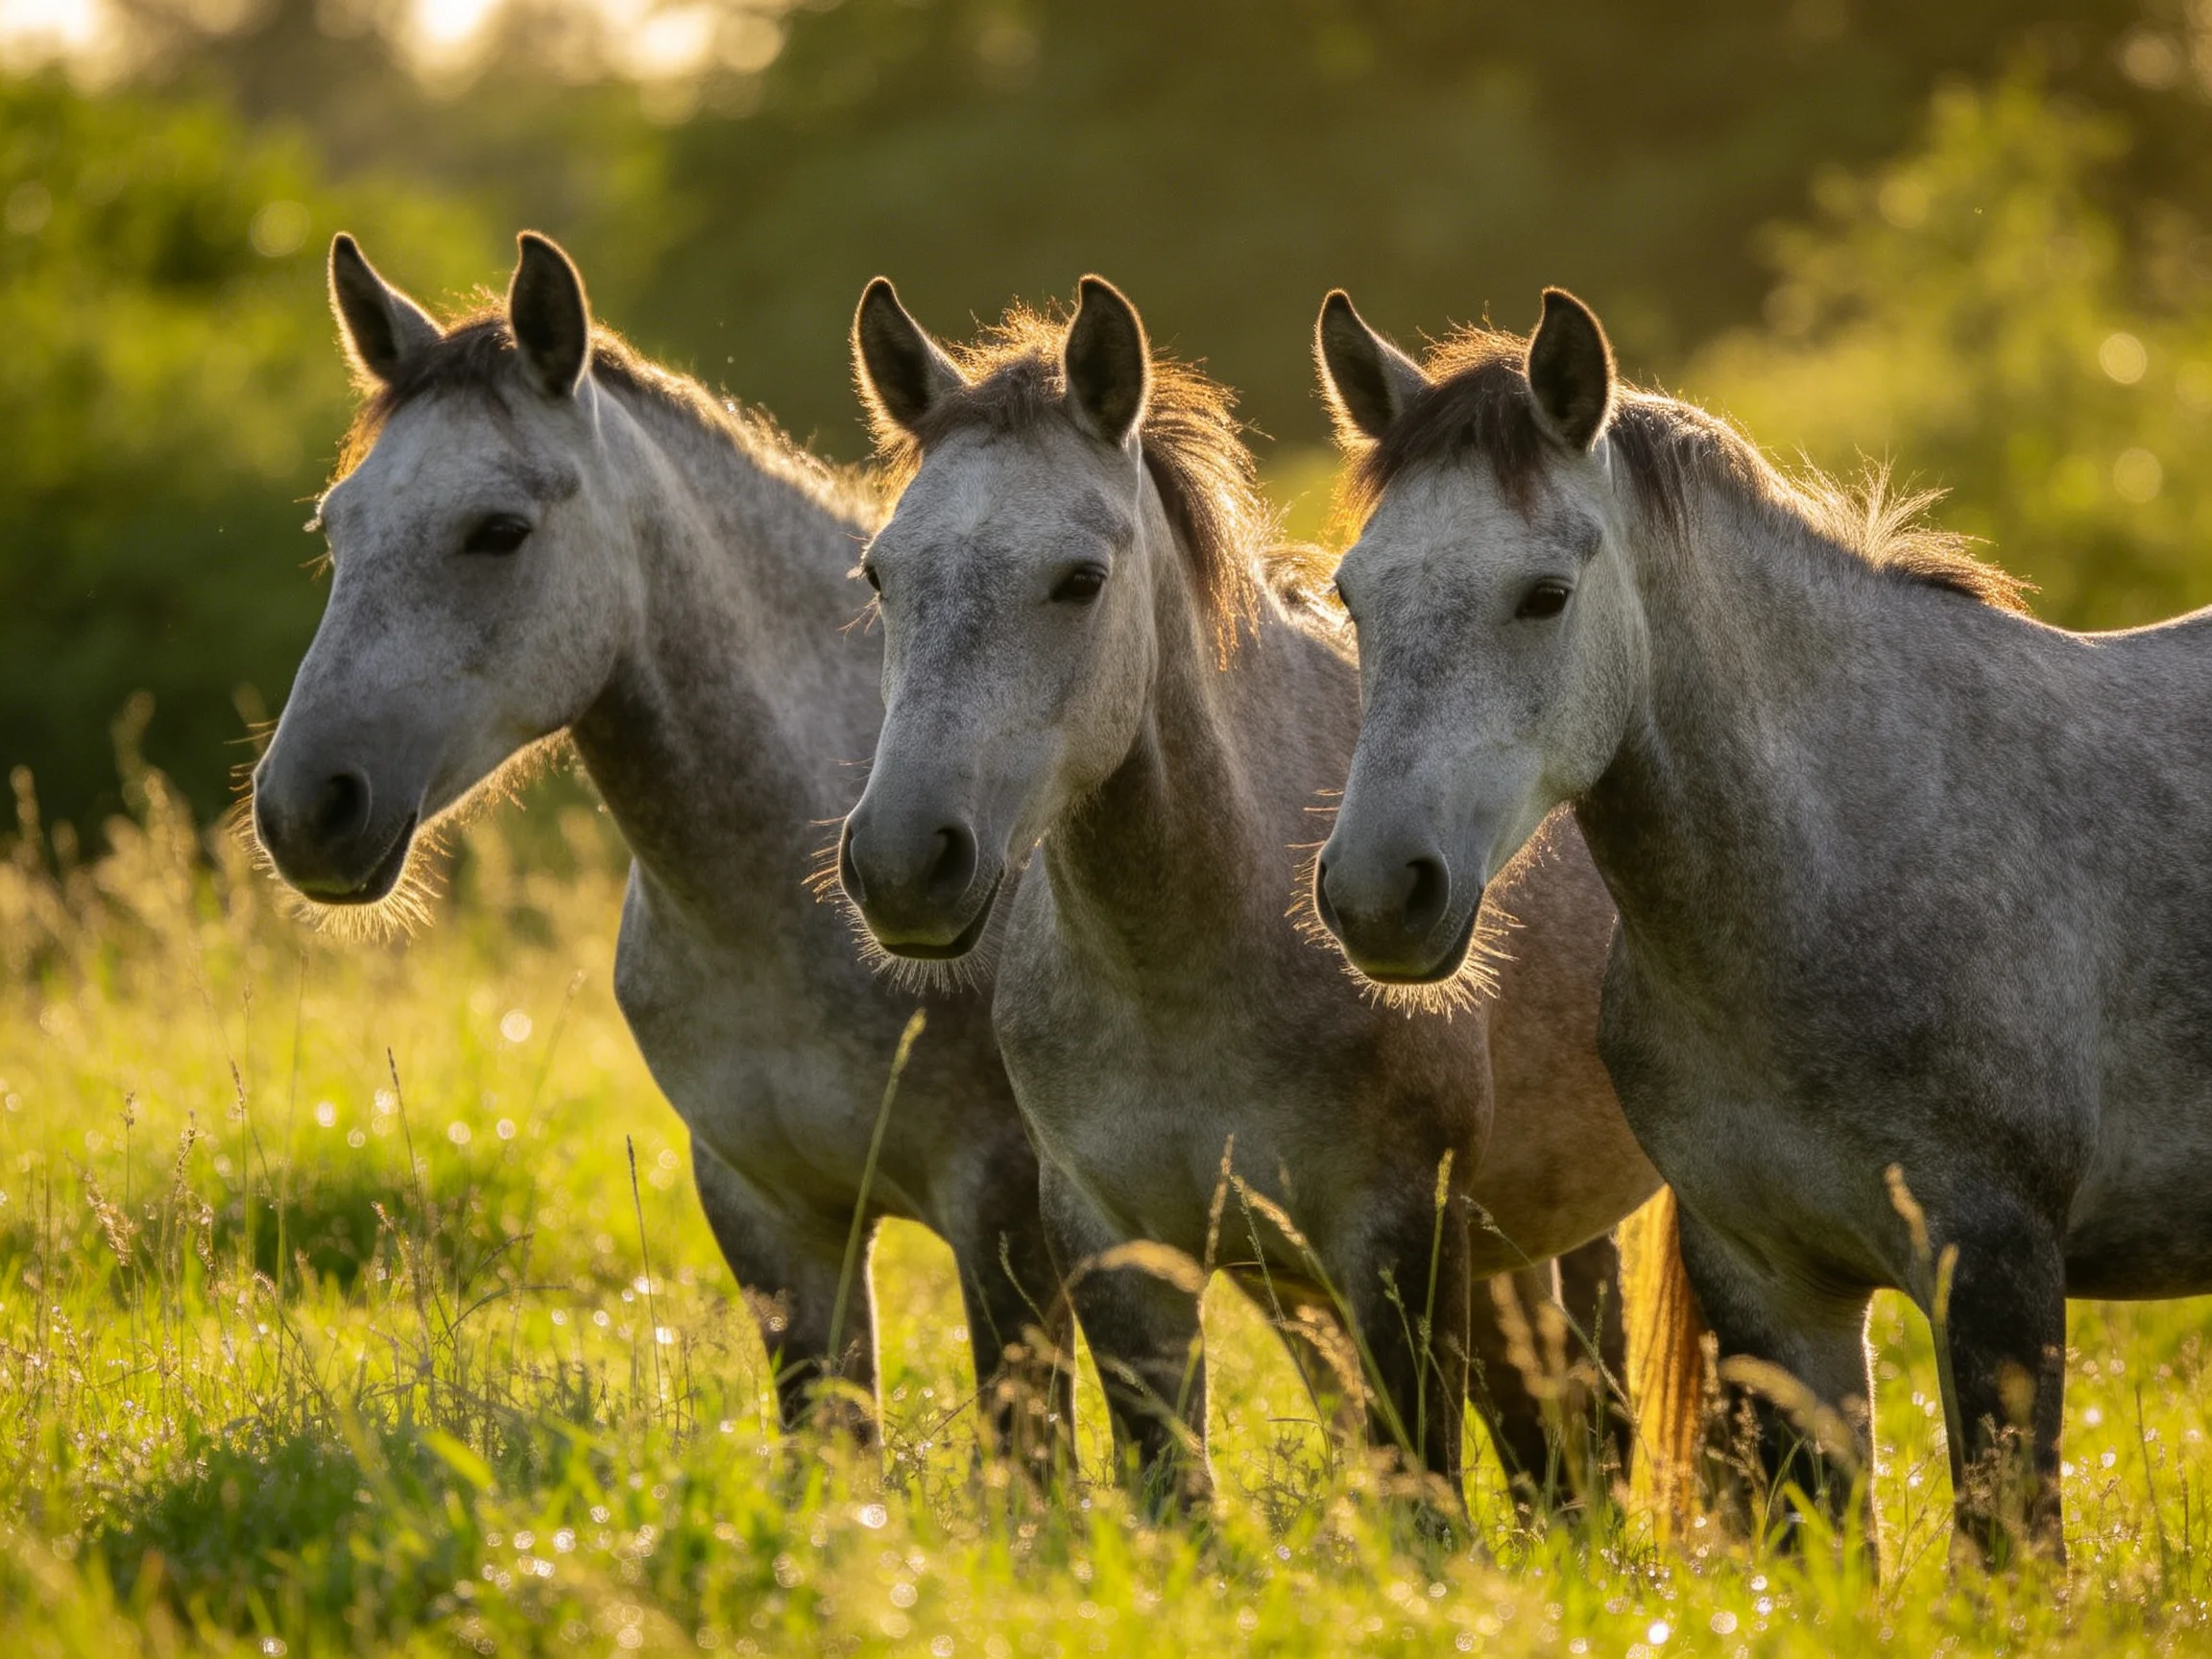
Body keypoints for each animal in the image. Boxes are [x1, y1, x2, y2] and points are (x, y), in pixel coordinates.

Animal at [835, 274, 1680, 1519]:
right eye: (881, 575)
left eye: (1080, 580)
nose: (902, 863)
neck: (1186, 964)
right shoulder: (1118, 1250)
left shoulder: (1396, 1239)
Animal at [1311, 283, 2212, 1564]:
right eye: (1353, 595)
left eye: (1545, 595)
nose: (1381, 894)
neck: (1840, 861)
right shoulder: (1772, 1291)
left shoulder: (1997, 1274)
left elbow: (2008, 1553)